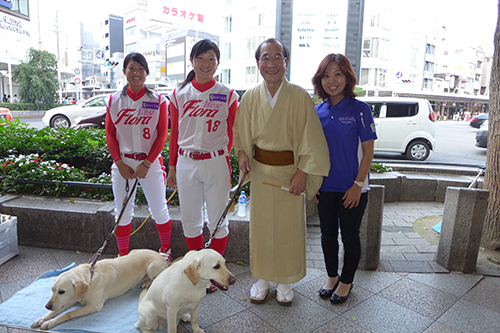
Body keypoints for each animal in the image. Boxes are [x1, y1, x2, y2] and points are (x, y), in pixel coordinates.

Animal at [31, 248, 168, 328]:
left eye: (62, 291)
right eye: (52, 290)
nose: (47, 306)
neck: (90, 279)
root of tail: (163, 258)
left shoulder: (94, 306)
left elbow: (68, 313)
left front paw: (49, 322)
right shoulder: (70, 300)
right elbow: (55, 311)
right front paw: (42, 319)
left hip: (151, 267)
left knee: (157, 277)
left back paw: (147, 282)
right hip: (133, 251)